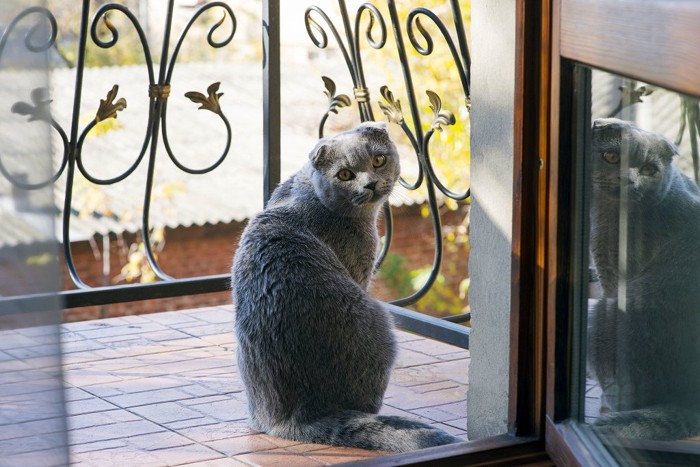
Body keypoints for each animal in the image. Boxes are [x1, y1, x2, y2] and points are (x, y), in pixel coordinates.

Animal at [230, 122, 462, 452]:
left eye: (378, 160)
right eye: (344, 174)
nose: (370, 184)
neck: (309, 192)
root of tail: (292, 420)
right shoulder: (360, 270)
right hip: (379, 320)